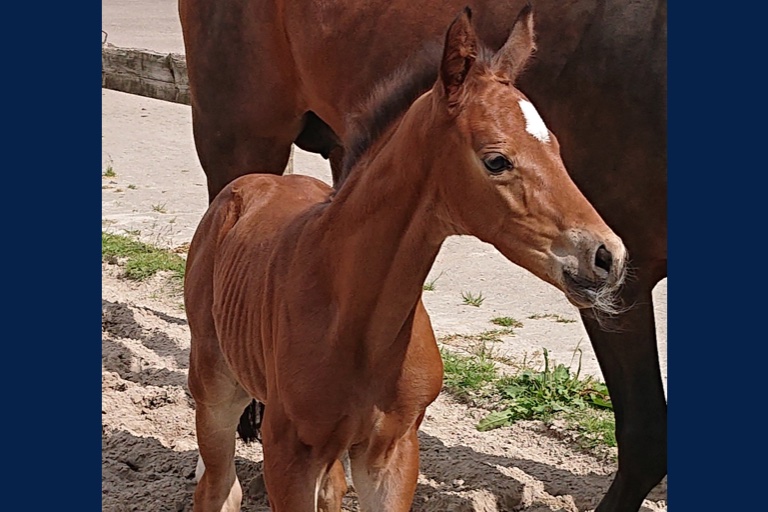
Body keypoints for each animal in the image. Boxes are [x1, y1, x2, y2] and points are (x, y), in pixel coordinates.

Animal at [179, 1, 667, 510]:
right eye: (496, 160)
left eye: (555, 146)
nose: (607, 255)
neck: (357, 323)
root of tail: (247, 187)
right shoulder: (290, 454)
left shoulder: (391, 451)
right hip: (216, 390)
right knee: (219, 484)